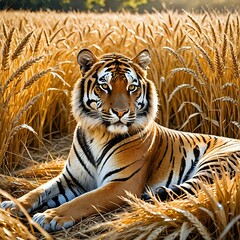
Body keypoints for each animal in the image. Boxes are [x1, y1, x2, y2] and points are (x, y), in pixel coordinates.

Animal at [0, 48, 239, 232]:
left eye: (132, 87)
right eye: (104, 86)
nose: (121, 112)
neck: (98, 133)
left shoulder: (121, 184)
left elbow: (83, 200)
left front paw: (50, 216)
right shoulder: (71, 179)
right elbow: (38, 191)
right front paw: (12, 205)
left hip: (216, 161)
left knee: (197, 188)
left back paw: (150, 197)